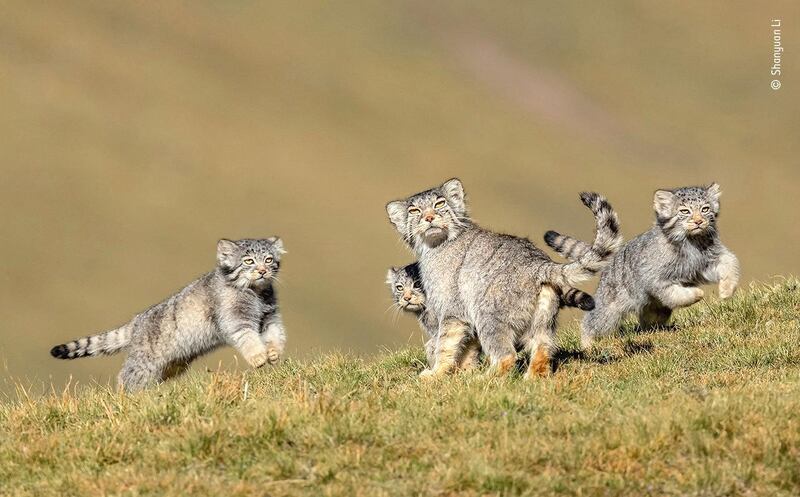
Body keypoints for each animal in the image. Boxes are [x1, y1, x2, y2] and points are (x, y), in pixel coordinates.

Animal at [50, 237, 288, 392]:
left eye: (268, 259)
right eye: (248, 261)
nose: (262, 271)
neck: (256, 293)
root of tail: (136, 322)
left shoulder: (269, 317)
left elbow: (276, 333)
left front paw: (274, 352)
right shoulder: (235, 319)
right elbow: (248, 338)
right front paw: (259, 357)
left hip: (171, 363)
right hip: (144, 363)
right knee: (126, 378)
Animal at [384, 178, 620, 376]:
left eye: (440, 203)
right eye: (414, 210)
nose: (429, 217)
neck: (436, 246)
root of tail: (537, 263)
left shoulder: (452, 311)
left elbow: (444, 346)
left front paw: (436, 375)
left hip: (488, 316)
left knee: (507, 357)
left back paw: (481, 381)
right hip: (542, 321)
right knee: (543, 350)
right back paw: (531, 381)